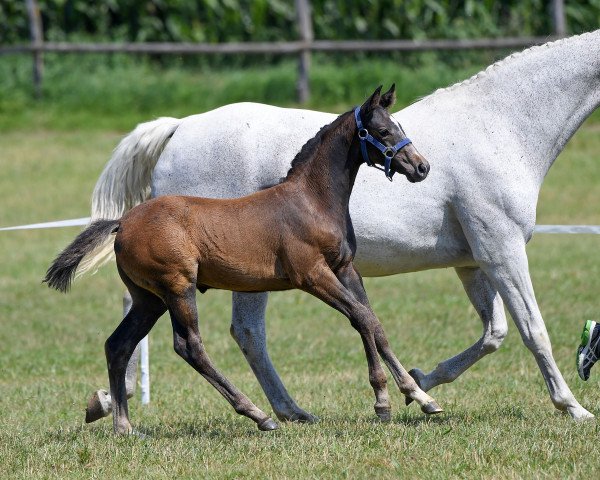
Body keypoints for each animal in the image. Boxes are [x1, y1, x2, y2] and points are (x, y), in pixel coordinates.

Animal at [45, 86, 440, 436]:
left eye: (399, 126)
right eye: (383, 131)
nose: (422, 167)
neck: (311, 201)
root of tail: (123, 222)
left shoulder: (345, 269)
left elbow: (373, 323)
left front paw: (419, 396)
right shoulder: (312, 275)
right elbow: (359, 317)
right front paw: (383, 400)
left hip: (149, 299)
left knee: (118, 345)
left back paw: (125, 427)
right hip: (177, 288)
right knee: (189, 346)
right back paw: (258, 414)